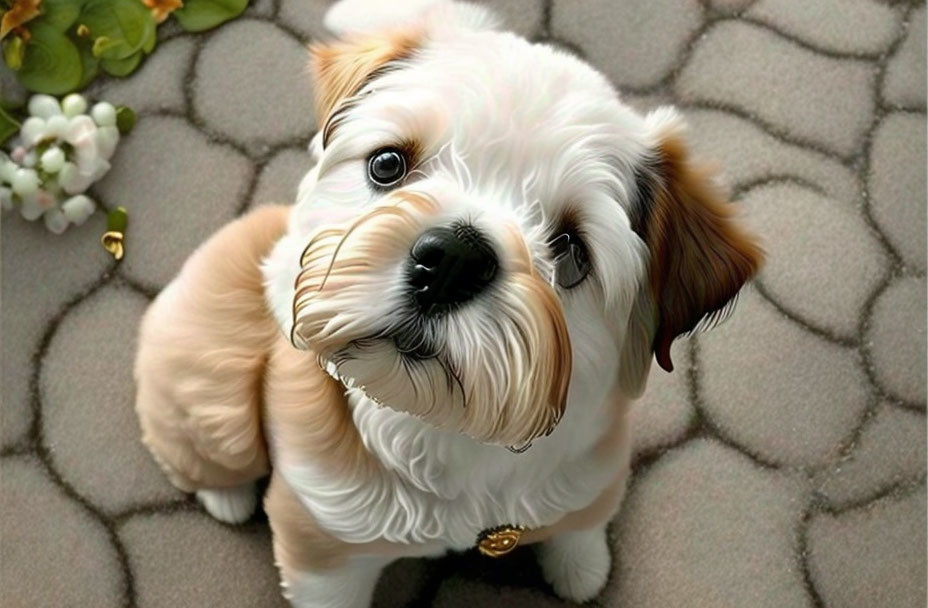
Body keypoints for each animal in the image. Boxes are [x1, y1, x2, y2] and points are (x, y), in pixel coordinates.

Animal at [136, 2, 760, 604]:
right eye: (387, 164)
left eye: (571, 250)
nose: (452, 261)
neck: (448, 429)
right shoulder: (323, 548)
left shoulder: (592, 465)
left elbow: (580, 525)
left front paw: (582, 568)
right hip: (218, 390)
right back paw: (226, 493)